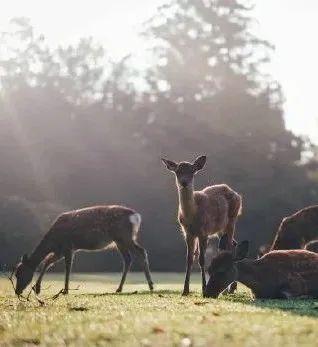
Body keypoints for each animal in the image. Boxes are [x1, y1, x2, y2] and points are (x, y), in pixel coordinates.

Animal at [13, 205, 154, 298]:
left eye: (19, 273)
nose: (17, 291)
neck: (53, 241)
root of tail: (136, 216)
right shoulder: (60, 250)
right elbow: (47, 262)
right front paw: (37, 289)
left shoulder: (68, 247)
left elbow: (67, 267)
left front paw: (65, 290)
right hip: (120, 241)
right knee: (128, 258)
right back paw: (119, 288)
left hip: (124, 236)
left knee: (141, 252)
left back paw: (151, 286)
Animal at [161, 156, 241, 294]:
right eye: (178, 171)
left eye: (192, 171)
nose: (184, 182)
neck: (192, 216)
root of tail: (238, 195)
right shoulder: (188, 233)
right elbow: (189, 259)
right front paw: (185, 290)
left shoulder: (204, 232)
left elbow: (202, 260)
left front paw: (204, 289)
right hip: (220, 229)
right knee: (232, 244)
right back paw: (228, 289)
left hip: (232, 220)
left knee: (230, 246)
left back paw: (230, 288)